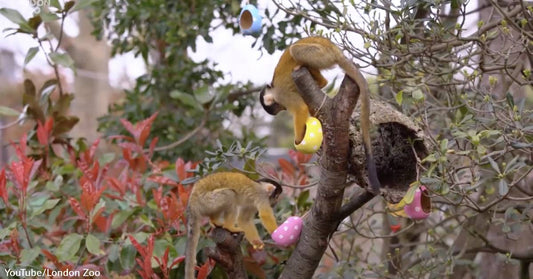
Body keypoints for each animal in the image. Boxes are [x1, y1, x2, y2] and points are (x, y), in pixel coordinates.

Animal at [260, 36, 380, 195]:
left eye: (281, 106)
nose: (284, 109)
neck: (274, 90)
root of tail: (336, 51)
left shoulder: (283, 95)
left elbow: (300, 109)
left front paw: (299, 140)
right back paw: (320, 81)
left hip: (322, 55)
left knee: (295, 51)